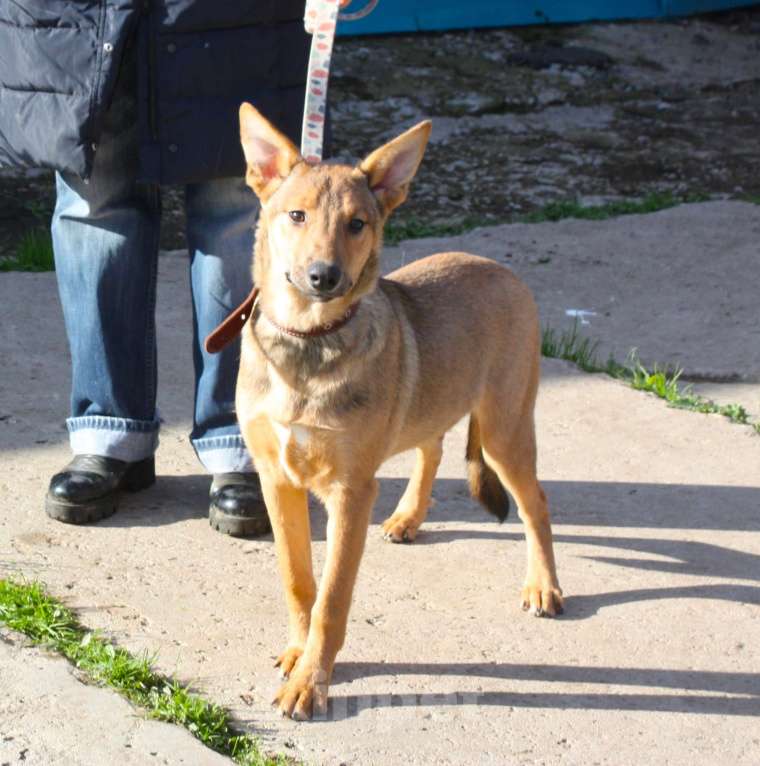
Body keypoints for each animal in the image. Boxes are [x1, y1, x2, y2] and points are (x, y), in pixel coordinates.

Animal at [235, 105, 560, 724]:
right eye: (296, 215)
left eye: (358, 224)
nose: (324, 276)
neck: (309, 345)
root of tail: (502, 269)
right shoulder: (276, 480)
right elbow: (298, 581)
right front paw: (298, 653)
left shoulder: (351, 491)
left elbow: (332, 597)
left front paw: (312, 683)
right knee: (432, 445)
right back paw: (409, 517)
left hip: (506, 430)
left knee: (536, 505)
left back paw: (544, 586)